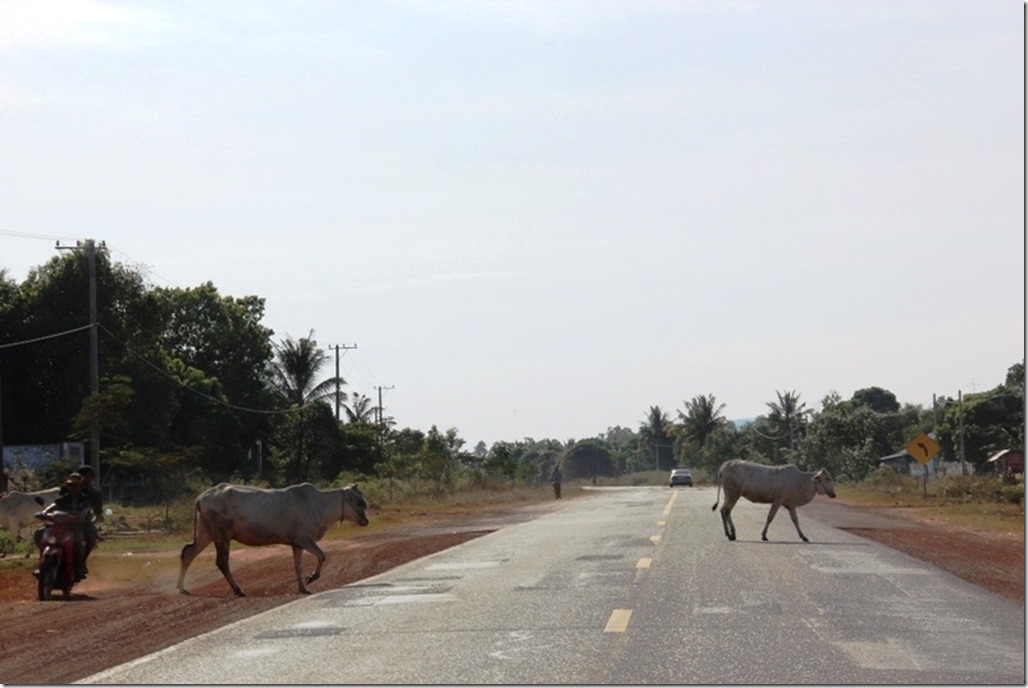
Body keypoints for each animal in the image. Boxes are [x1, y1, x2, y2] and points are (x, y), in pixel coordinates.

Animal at [176, 483, 370, 596]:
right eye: (358, 501)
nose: (366, 521)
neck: (321, 505)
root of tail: (200, 498)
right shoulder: (304, 538)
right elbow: (321, 555)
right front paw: (312, 578)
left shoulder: (296, 543)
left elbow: (297, 566)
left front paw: (303, 588)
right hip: (222, 534)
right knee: (221, 562)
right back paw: (238, 590)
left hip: (206, 533)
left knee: (188, 552)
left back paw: (181, 587)